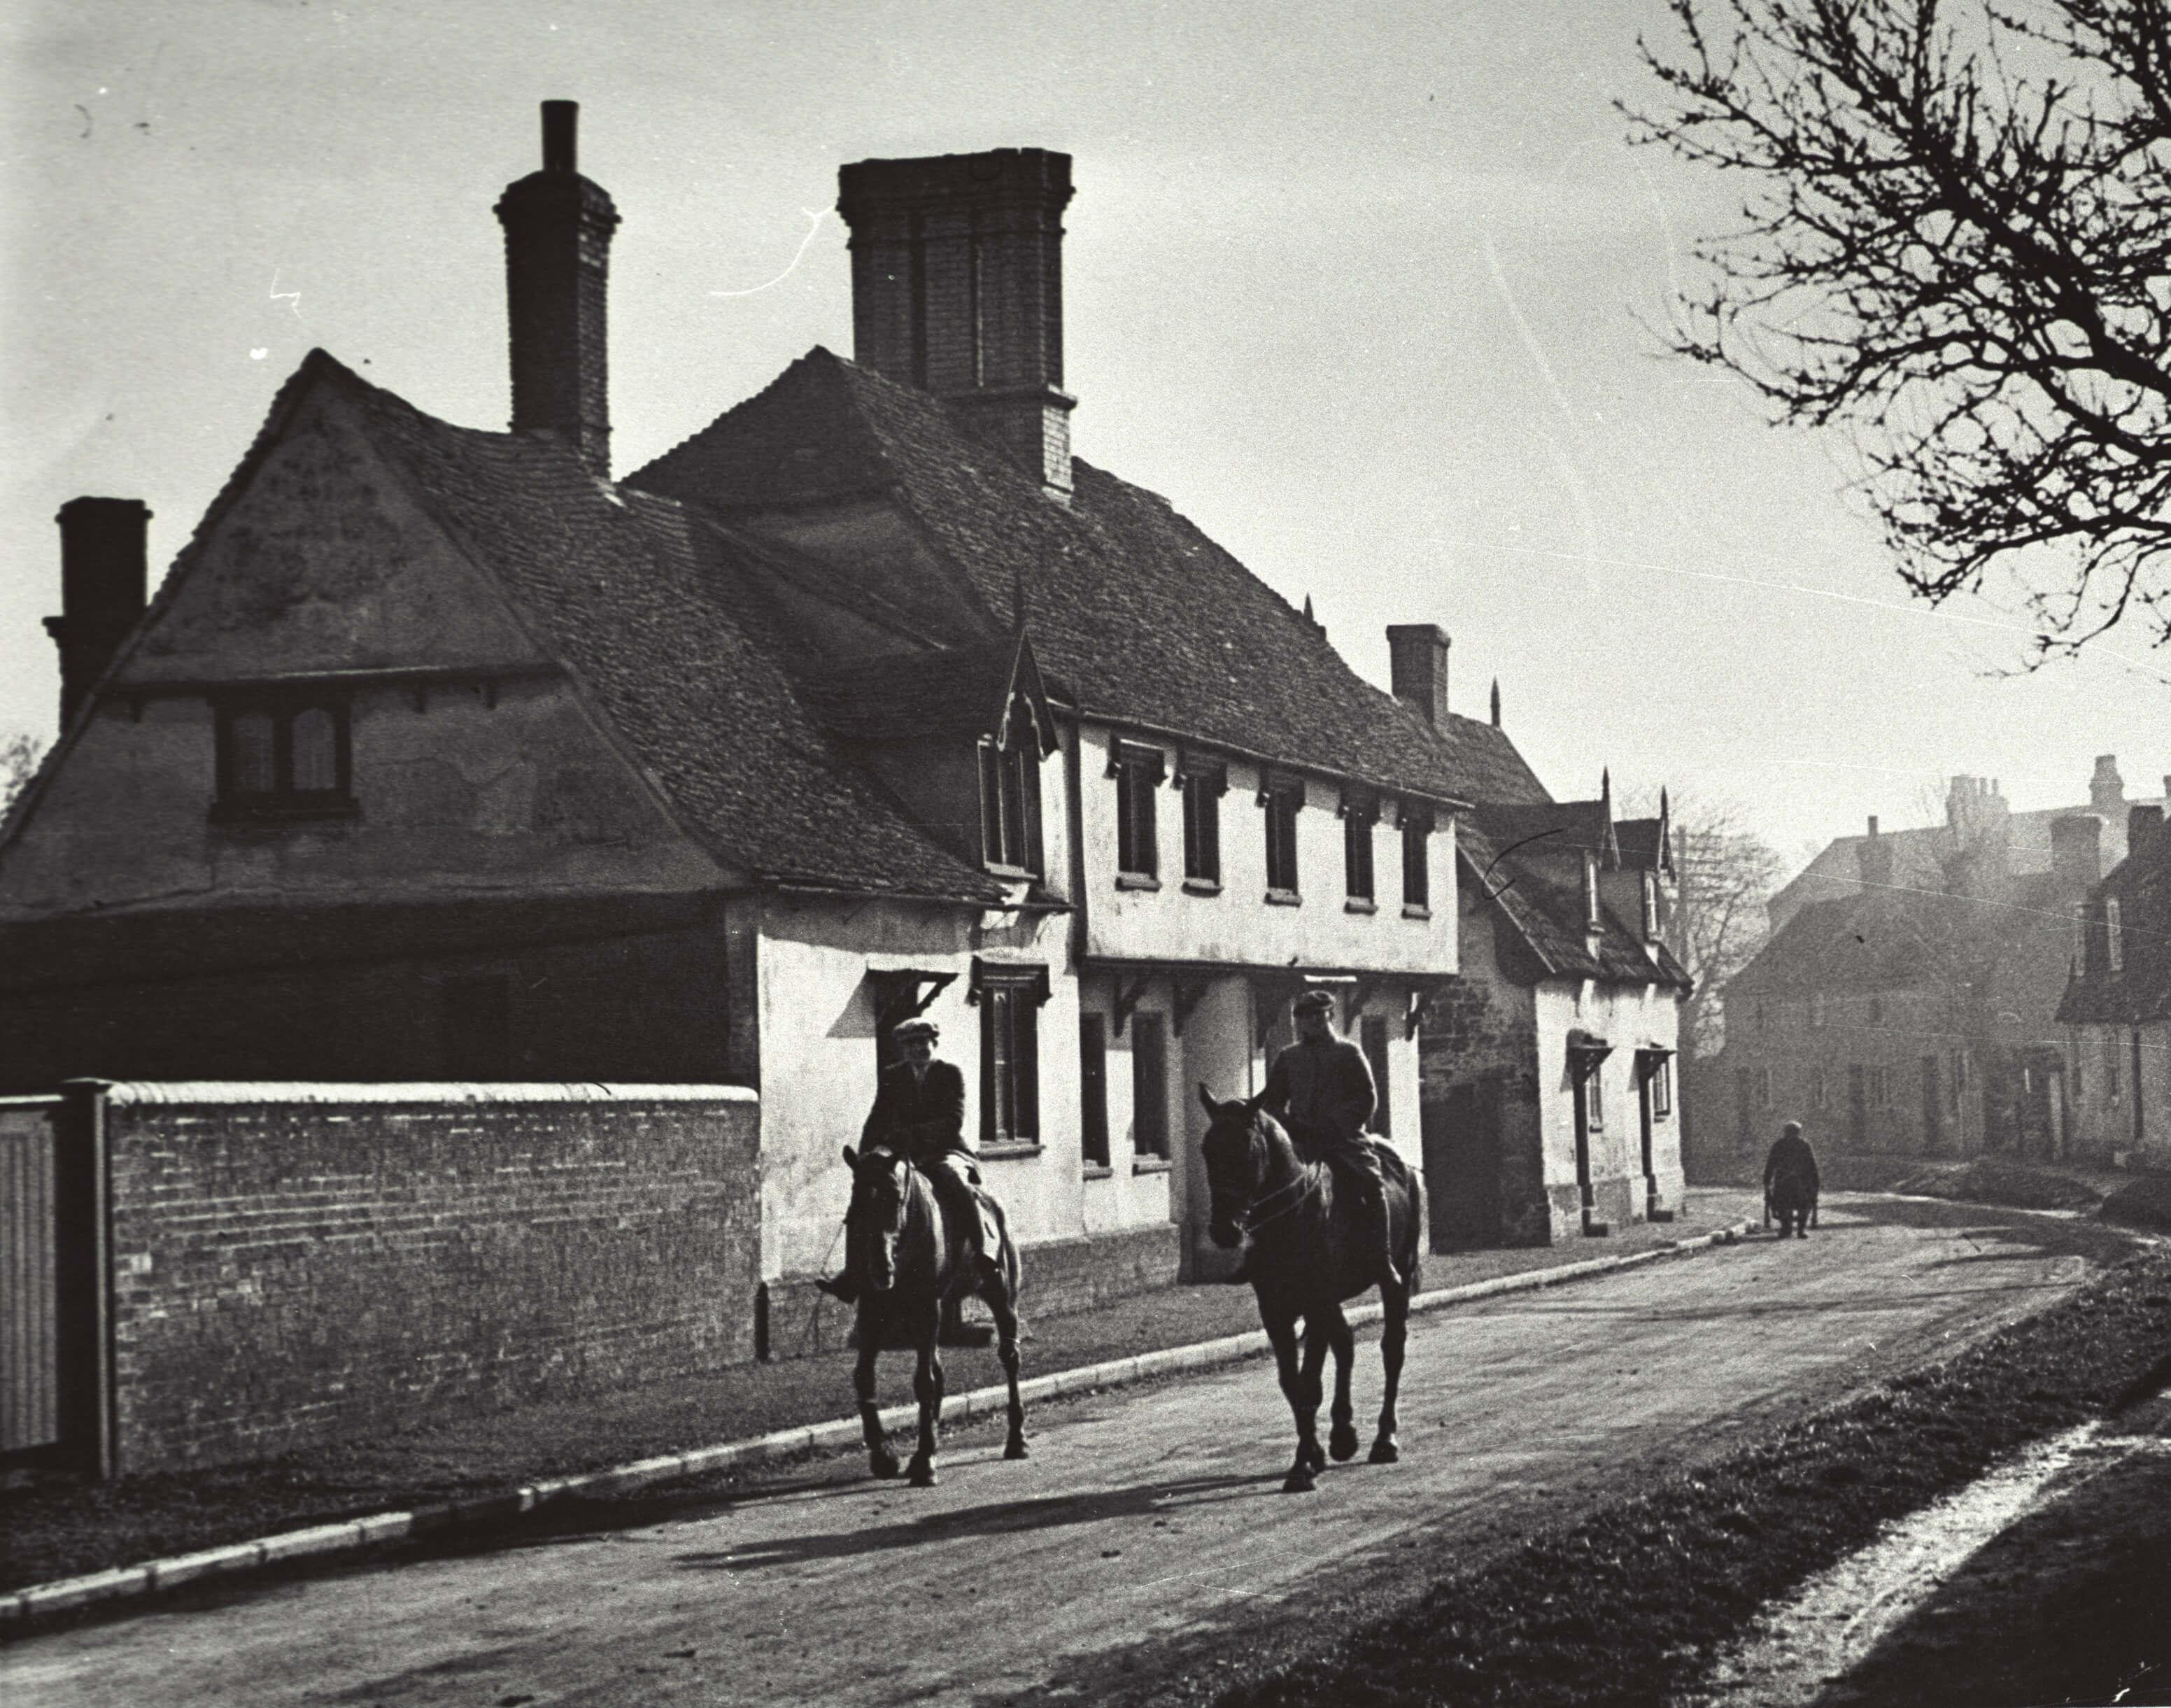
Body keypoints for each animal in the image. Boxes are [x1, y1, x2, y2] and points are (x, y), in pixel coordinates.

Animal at [837, 1145, 1024, 1484]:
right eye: (857, 1196)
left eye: (895, 1196)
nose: (879, 1268)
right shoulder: (872, 1310)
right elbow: (864, 1376)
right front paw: (884, 1455)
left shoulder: (927, 1308)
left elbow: (925, 1381)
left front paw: (925, 1460)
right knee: (938, 1370)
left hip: (1002, 1300)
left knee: (1010, 1358)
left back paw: (1017, 1440)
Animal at [1189, 1089, 1424, 1492]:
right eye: (1207, 1149)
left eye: (1248, 1149)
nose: (1224, 1230)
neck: (1290, 1215)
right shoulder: (1275, 1309)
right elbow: (1293, 1384)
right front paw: (1312, 1453)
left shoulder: (1317, 1302)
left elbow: (1310, 1384)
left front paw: (1302, 1465)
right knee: (1345, 1343)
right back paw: (1343, 1434)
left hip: (1397, 1278)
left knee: (1392, 1350)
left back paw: (1385, 1440)